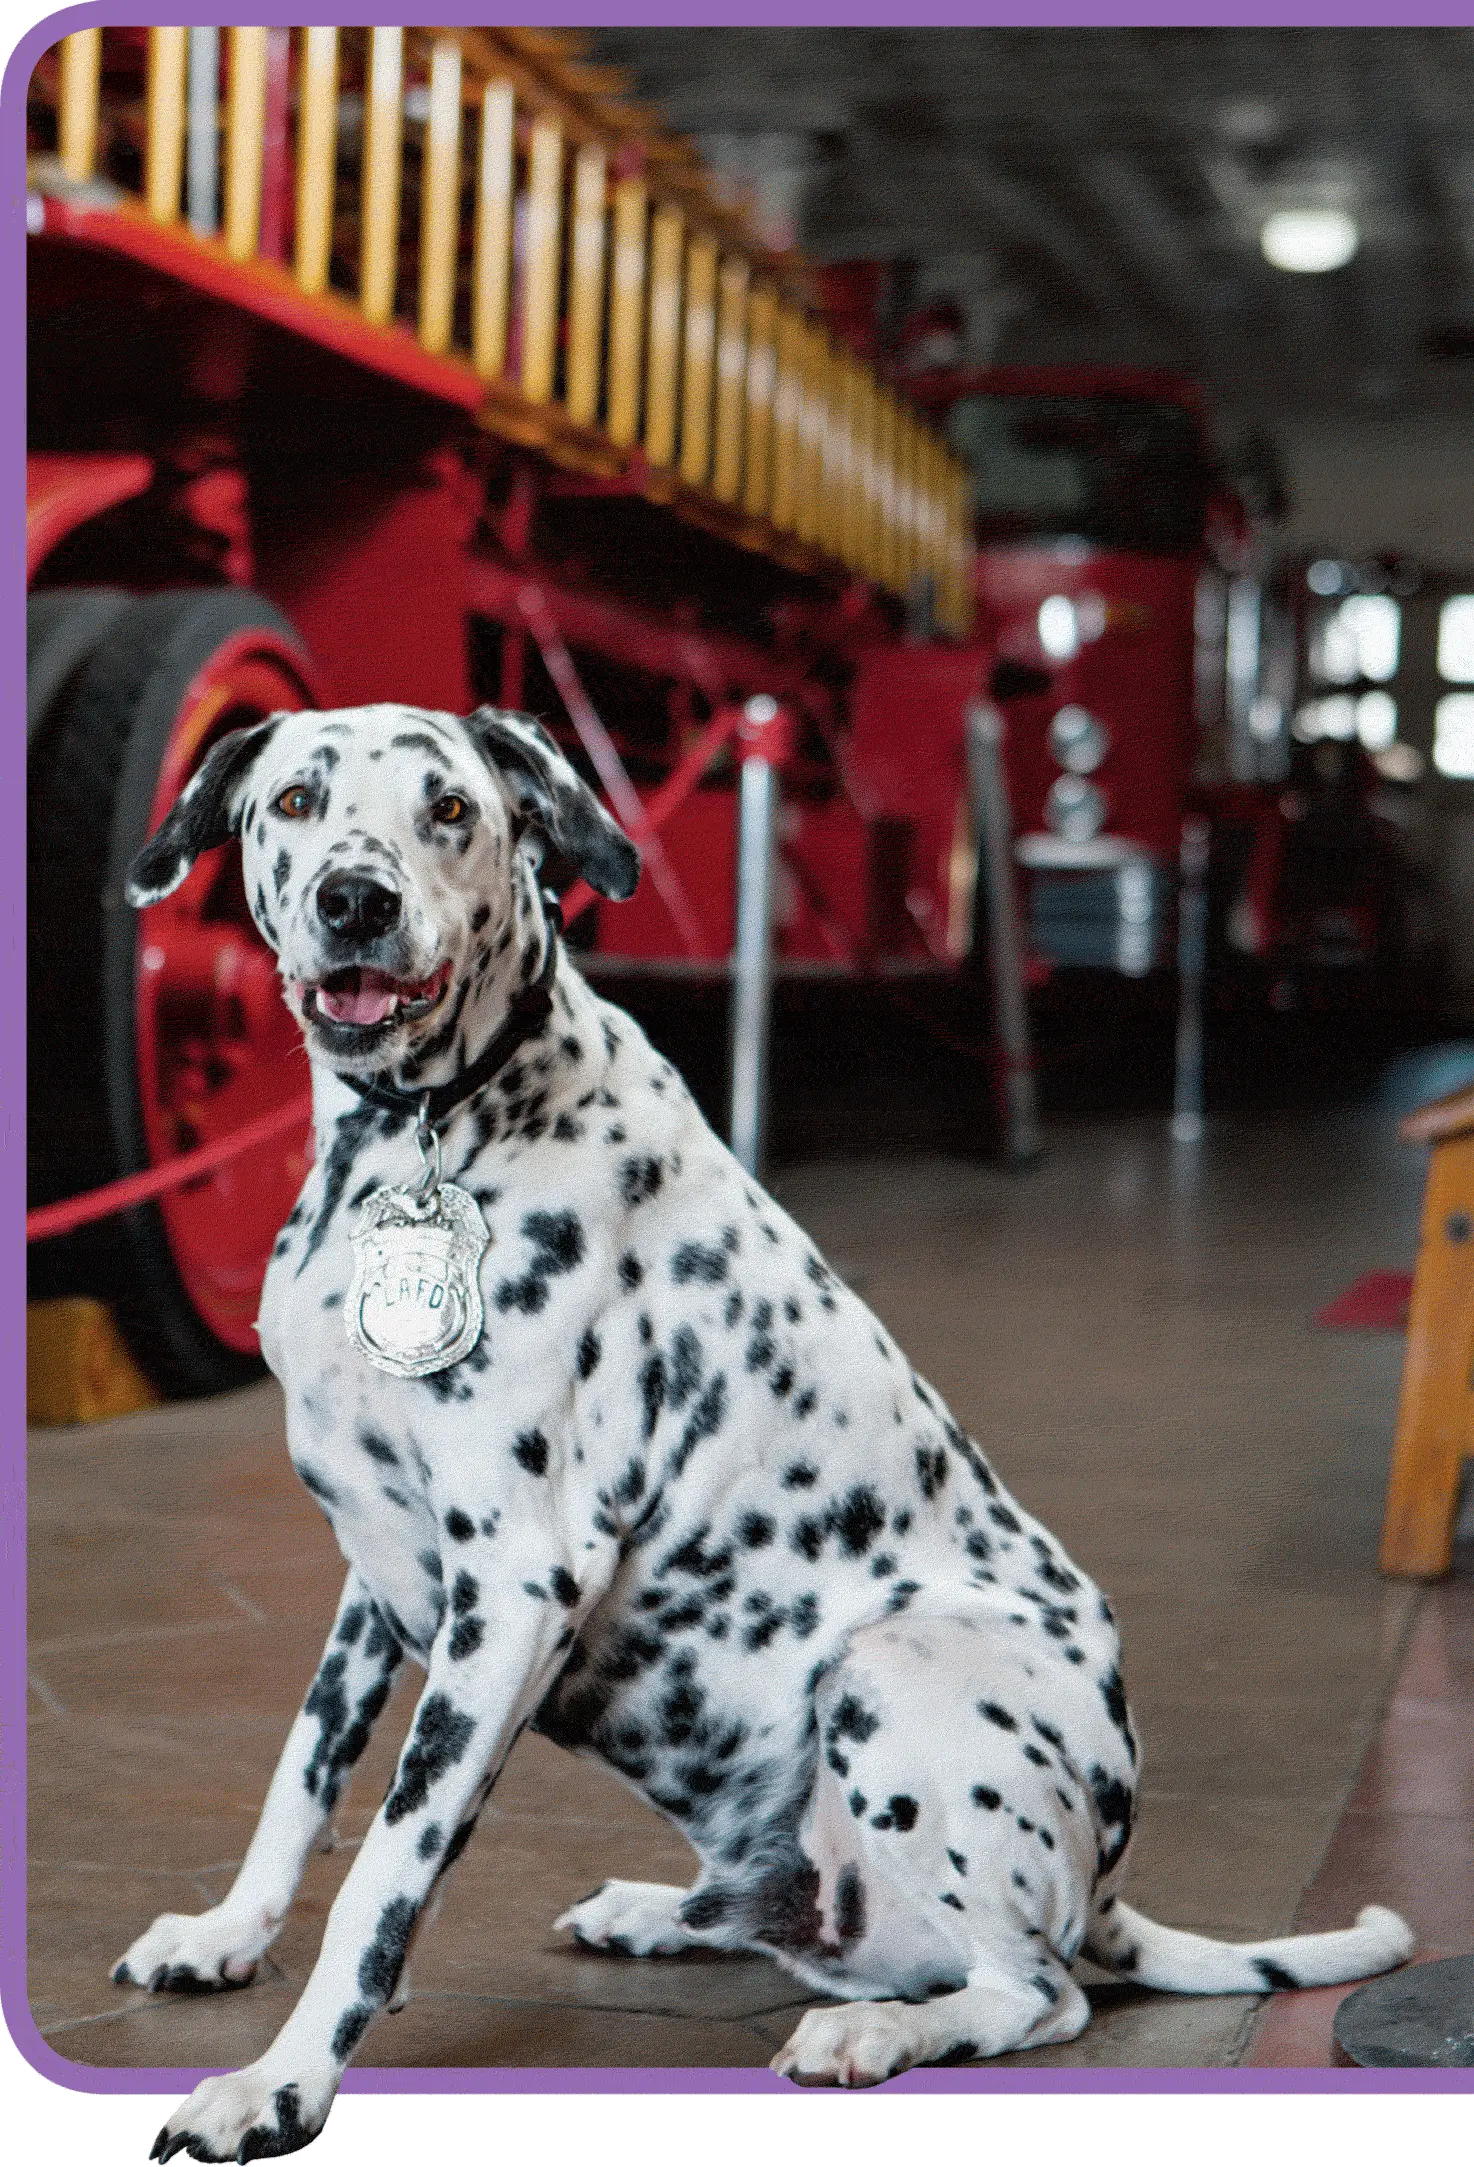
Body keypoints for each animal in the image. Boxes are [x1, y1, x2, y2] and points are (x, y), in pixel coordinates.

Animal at [120, 706, 1413, 2149]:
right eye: (295, 799)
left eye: (449, 809)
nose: (357, 900)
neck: (412, 1144)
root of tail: (1108, 1881)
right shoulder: (380, 1575)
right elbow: (304, 1779)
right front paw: (228, 1932)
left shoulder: (511, 1584)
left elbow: (387, 1868)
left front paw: (278, 2082)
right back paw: (662, 1911)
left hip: (892, 1673)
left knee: (1038, 1992)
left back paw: (880, 2027)